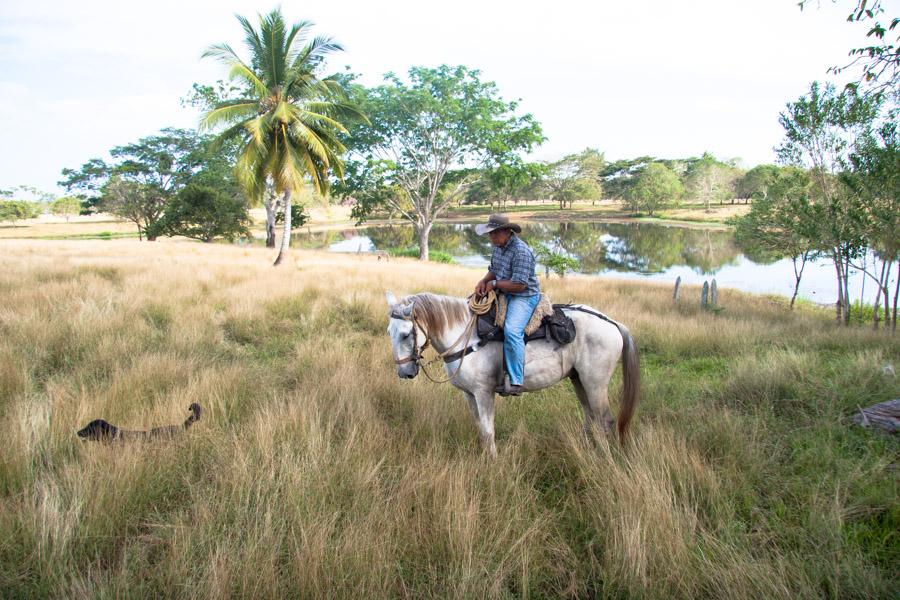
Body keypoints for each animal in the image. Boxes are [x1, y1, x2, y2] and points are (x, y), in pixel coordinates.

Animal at [386, 292, 640, 454]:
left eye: (406, 334)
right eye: (390, 332)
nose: (404, 372)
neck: (465, 336)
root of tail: (612, 323)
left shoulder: (484, 393)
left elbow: (488, 431)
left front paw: (492, 463)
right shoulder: (469, 394)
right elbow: (480, 429)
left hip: (595, 383)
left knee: (604, 420)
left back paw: (602, 458)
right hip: (579, 380)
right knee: (590, 417)